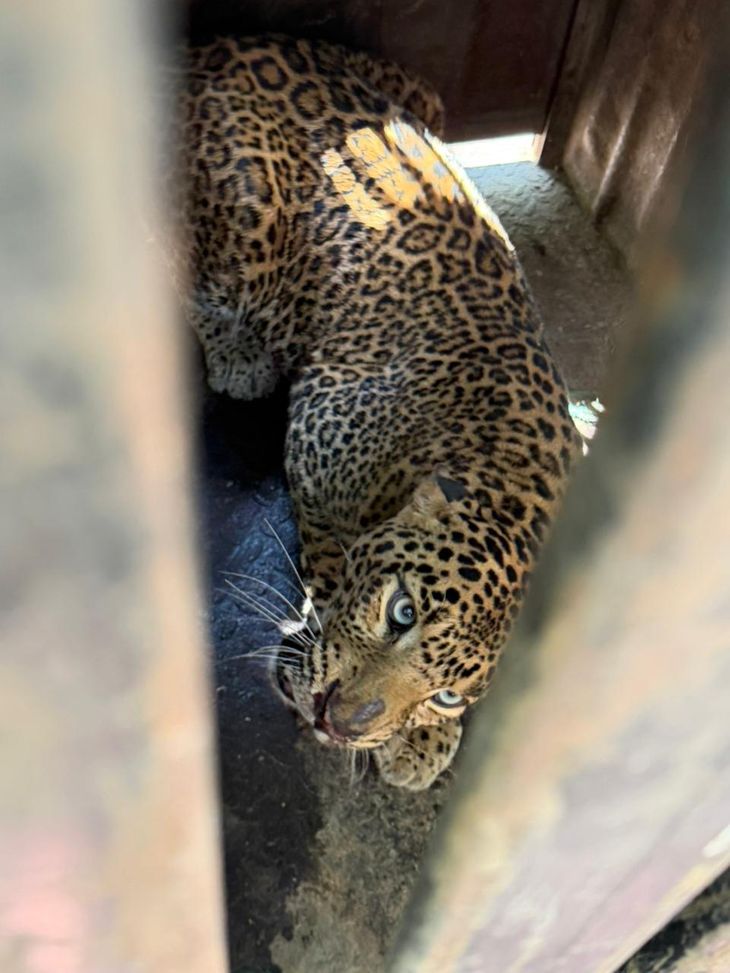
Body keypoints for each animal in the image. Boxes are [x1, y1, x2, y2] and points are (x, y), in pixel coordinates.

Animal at [179, 34, 581, 790]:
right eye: (401, 611)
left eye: (449, 691)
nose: (338, 720)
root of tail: (214, 50)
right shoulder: (316, 436)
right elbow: (330, 553)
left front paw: (425, 739)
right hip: (247, 217)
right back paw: (238, 352)